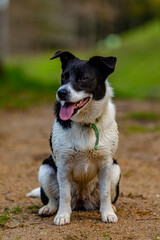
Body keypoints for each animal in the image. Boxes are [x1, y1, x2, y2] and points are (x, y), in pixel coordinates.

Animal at [27, 50, 120, 225]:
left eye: (83, 78)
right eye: (64, 76)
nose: (61, 92)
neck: (85, 123)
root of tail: (81, 202)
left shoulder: (106, 165)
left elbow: (105, 194)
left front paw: (107, 213)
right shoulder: (63, 166)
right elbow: (64, 195)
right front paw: (63, 215)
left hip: (115, 169)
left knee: (105, 196)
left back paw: (111, 207)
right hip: (45, 169)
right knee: (54, 198)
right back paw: (49, 209)